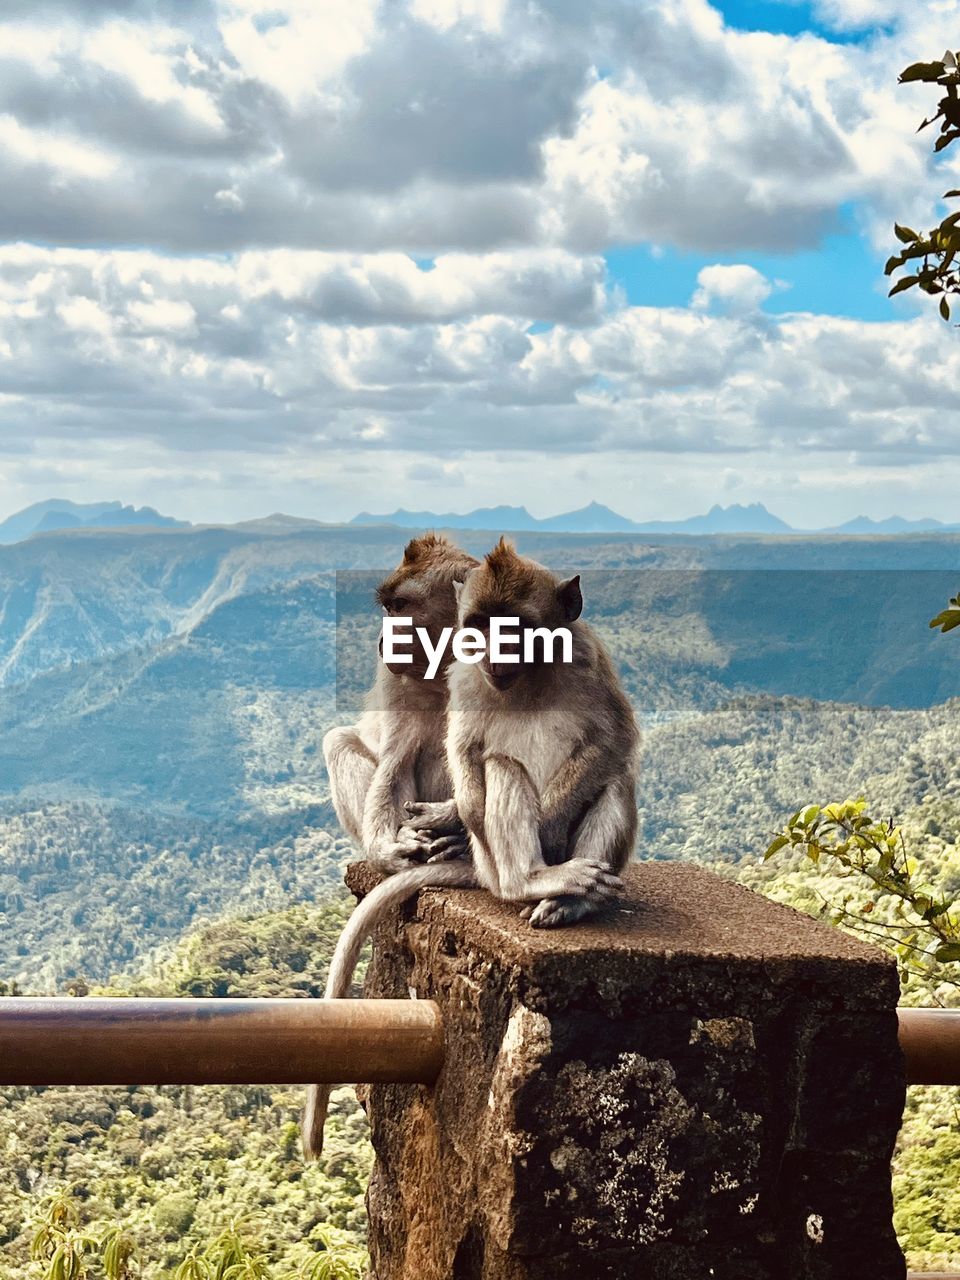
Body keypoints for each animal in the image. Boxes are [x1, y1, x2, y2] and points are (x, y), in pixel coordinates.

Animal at [304, 537, 642, 1162]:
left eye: (401, 608)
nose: (384, 639)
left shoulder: (588, 657)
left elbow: (613, 738)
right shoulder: (409, 682)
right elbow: (421, 754)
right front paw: (399, 845)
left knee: (613, 778)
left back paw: (569, 899)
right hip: (492, 856)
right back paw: (526, 879)